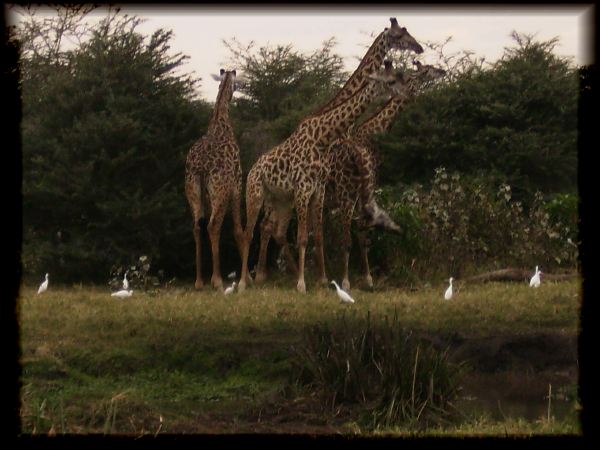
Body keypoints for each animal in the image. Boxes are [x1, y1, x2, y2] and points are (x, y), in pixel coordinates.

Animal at [186, 68, 245, 290]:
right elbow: (238, 230)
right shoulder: (237, 185)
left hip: (194, 190)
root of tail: (202, 167)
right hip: (220, 191)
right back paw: (217, 280)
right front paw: (248, 278)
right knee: (213, 225)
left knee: (198, 226)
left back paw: (199, 281)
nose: (235, 92)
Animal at [238, 64, 404, 296]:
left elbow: (317, 235)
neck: (322, 138)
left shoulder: (318, 190)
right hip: (255, 194)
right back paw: (244, 283)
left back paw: (264, 277)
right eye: (389, 81)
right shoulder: (305, 190)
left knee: (272, 229)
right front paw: (302, 284)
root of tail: (252, 169)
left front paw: (323, 280)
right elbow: (303, 237)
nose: (399, 92)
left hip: (281, 200)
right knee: (249, 232)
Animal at [251, 20, 424, 284]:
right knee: (268, 226)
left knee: (274, 229)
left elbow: (323, 232)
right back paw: (264, 275)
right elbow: (322, 232)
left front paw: (326, 276)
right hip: (280, 196)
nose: (419, 48)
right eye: (399, 35)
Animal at [326, 60, 448, 292]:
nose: (444, 71)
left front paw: (368, 279)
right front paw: (357, 280)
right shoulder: (367, 185)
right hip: (343, 192)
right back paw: (339, 280)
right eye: (429, 69)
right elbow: (359, 234)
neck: (374, 132)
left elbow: (362, 234)